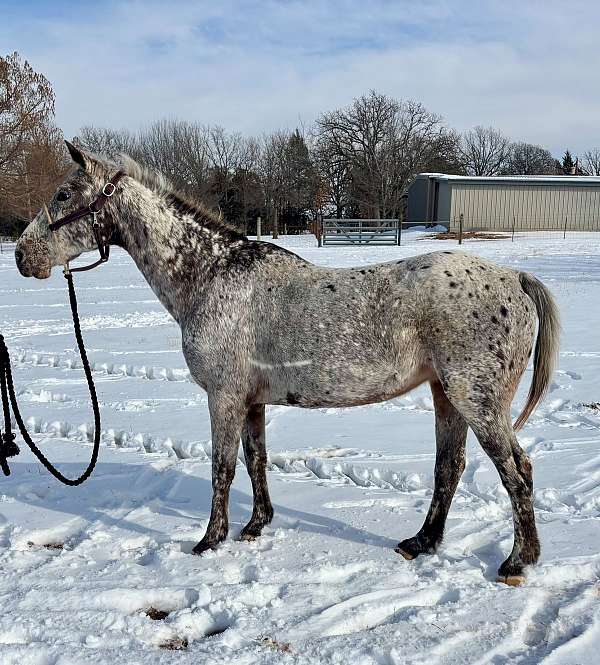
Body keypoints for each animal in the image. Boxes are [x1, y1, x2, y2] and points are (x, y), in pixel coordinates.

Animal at [15, 141, 560, 585]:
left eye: (64, 194)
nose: (23, 256)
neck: (210, 275)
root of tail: (515, 278)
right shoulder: (251, 401)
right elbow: (254, 460)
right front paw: (256, 526)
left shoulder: (224, 396)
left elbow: (222, 466)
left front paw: (210, 540)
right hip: (447, 395)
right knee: (450, 467)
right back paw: (421, 543)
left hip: (477, 400)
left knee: (517, 471)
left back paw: (517, 562)